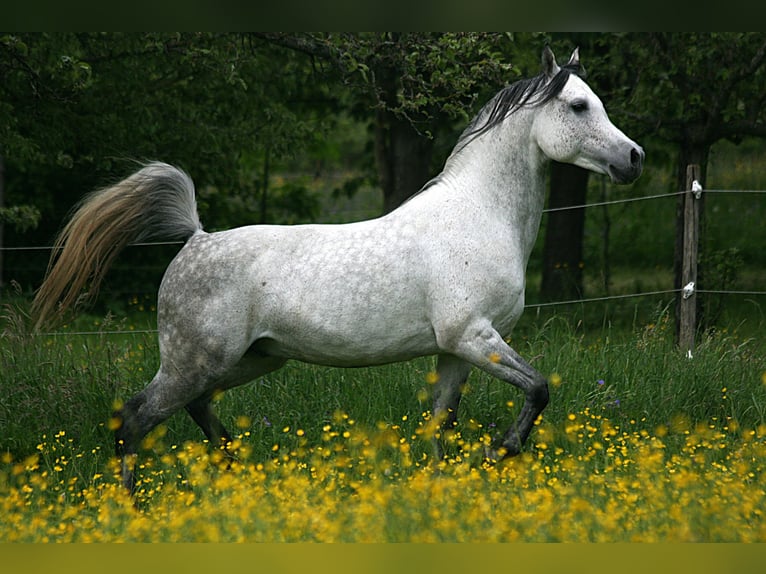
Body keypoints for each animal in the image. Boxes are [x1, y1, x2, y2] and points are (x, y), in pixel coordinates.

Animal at [32, 46, 643, 492]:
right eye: (579, 106)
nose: (634, 159)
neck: (478, 213)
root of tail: (196, 238)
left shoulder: (456, 351)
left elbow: (440, 426)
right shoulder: (474, 337)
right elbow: (538, 389)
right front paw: (501, 452)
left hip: (249, 359)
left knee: (196, 409)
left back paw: (237, 472)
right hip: (195, 361)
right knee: (134, 418)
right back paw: (131, 505)